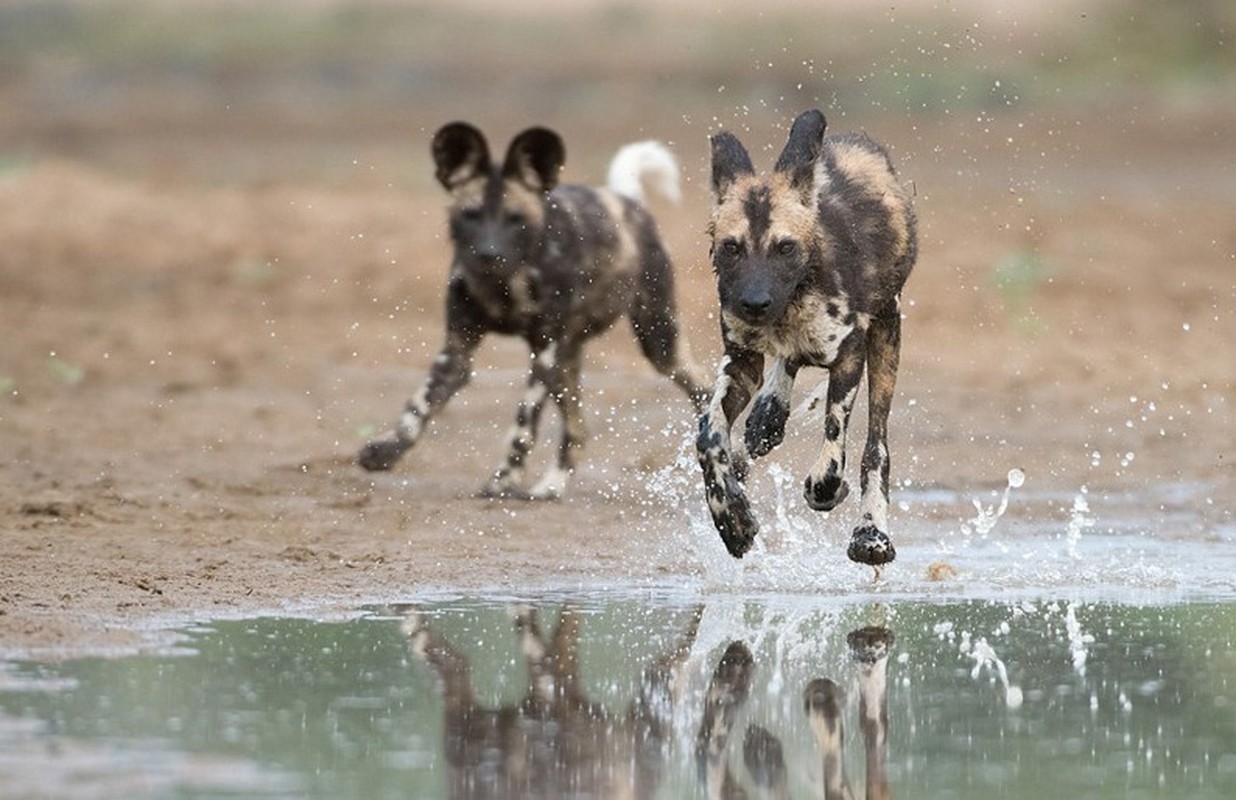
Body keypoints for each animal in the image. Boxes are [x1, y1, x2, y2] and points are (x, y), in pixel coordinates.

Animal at [358, 121, 711, 497]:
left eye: (515, 219)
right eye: (471, 215)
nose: (489, 254)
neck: (503, 285)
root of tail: (627, 201)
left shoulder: (542, 353)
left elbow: (522, 427)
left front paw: (503, 480)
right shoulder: (457, 351)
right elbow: (418, 407)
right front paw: (385, 451)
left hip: (657, 342)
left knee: (701, 389)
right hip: (565, 365)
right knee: (578, 431)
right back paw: (550, 488)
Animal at [697, 109, 919, 566]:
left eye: (785, 247)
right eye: (732, 247)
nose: (754, 303)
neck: (789, 308)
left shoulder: (849, 354)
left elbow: (834, 453)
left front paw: (824, 492)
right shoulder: (741, 360)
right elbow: (709, 433)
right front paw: (733, 520)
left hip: (886, 335)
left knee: (877, 446)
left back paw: (871, 534)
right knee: (789, 367)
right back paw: (768, 414)